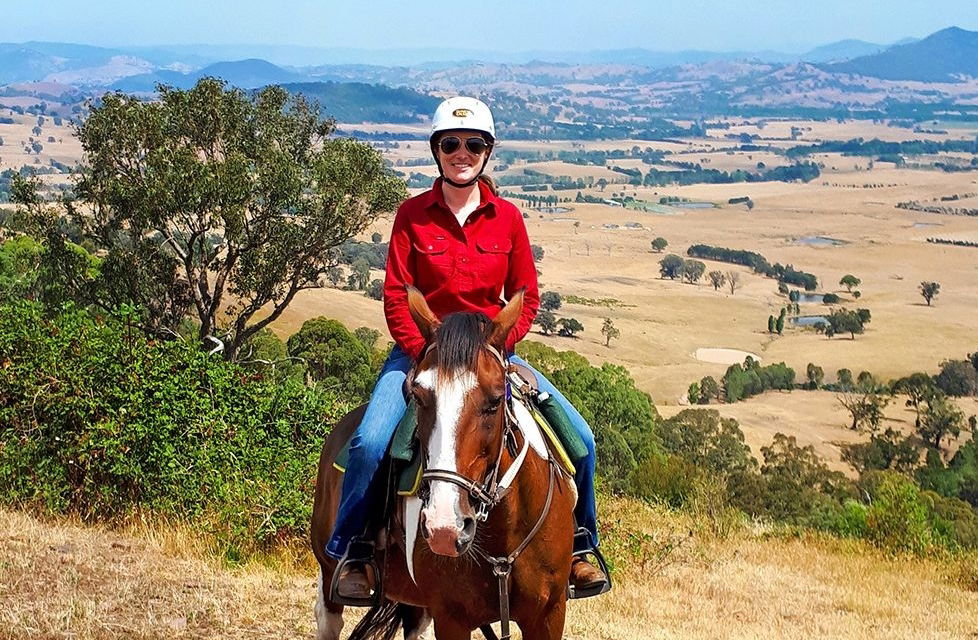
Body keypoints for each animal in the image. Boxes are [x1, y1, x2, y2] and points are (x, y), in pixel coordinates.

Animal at [310, 287, 577, 640]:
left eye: (495, 400)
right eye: (418, 396)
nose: (444, 528)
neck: (504, 535)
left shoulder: (549, 615)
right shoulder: (451, 617)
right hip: (331, 575)